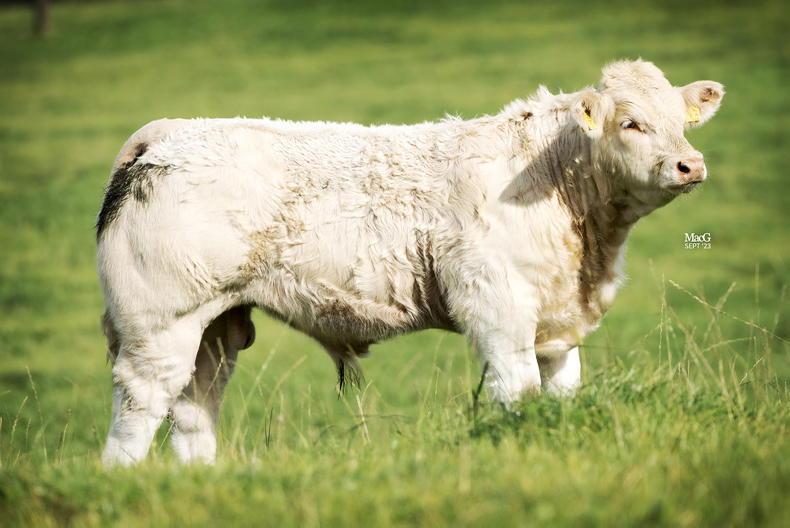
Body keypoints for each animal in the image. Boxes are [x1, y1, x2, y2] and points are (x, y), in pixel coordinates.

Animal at [96, 60, 724, 466]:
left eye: (682, 121)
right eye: (631, 122)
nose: (691, 164)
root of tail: (174, 132)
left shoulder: (556, 322)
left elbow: (561, 395)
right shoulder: (497, 308)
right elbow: (516, 393)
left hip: (217, 327)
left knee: (195, 405)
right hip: (160, 324)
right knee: (141, 404)